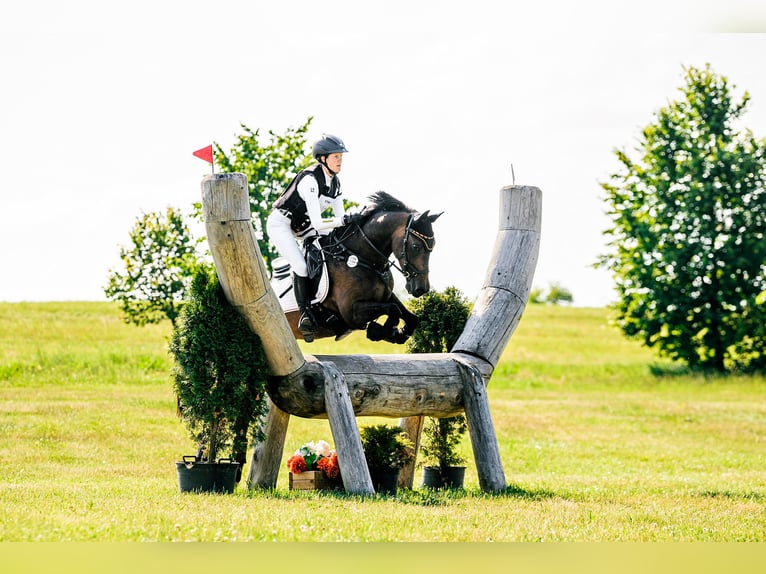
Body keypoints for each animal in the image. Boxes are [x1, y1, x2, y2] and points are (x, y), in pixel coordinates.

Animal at [272, 194, 440, 344]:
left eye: (433, 247)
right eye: (415, 246)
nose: (421, 289)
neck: (361, 258)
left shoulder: (385, 296)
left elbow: (410, 317)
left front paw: (396, 333)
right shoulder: (351, 312)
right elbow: (393, 310)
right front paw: (379, 331)